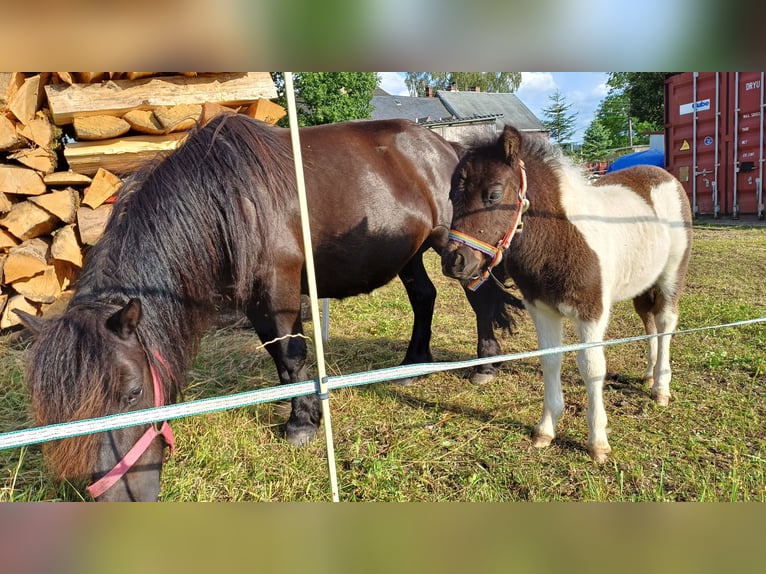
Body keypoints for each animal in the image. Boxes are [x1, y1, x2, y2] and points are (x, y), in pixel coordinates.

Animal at [18, 115, 462, 502]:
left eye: (133, 393)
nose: (119, 499)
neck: (224, 199)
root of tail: (444, 147)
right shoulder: (254, 301)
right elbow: (278, 356)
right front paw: (292, 405)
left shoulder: (279, 287)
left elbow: (293, 353)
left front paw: (302, 423)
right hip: (411, 254)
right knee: (424, 297)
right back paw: (414, 363)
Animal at [440, 126, 692, 464]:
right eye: (452, 195)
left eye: (493, 194)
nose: (454, 262)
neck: (560, 237)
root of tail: (664, 175)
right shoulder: (542, 310)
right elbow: (550, 360)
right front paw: (545, 430)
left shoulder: (592, 311)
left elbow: (592, 367)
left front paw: (597, 442)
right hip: (643, 282)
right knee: (648, 320)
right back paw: (649, 376)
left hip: (671, 274)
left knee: (665, 323)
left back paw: (661, 388)